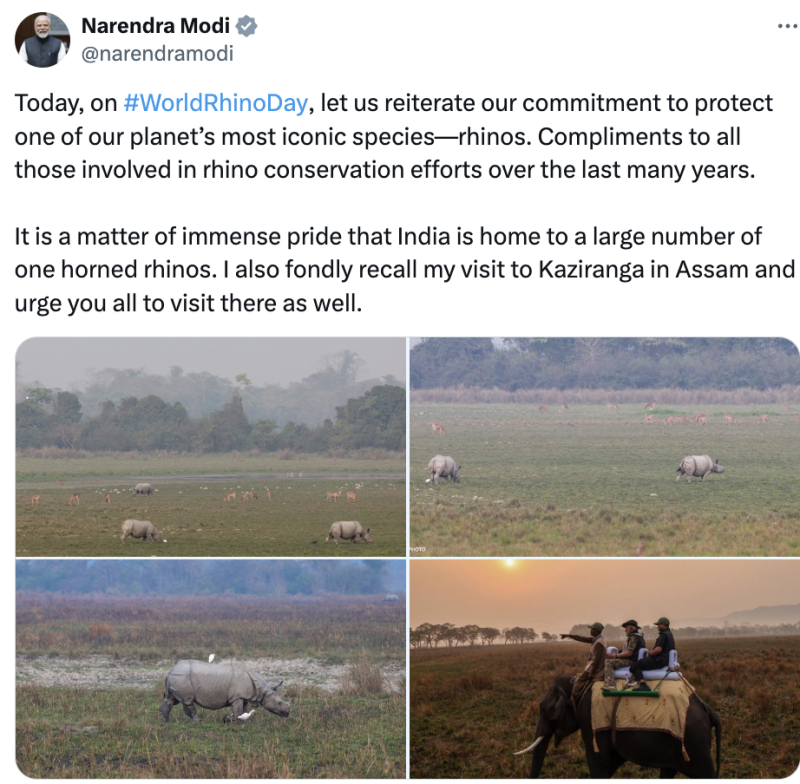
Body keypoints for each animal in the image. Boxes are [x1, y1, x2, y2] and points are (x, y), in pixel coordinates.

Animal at [160, 660, 289, 723]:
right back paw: (198, 721)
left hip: (177, 677)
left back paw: (165, 721)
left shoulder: (243, 696)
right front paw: (227, 719)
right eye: (279, 703)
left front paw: (241, 720)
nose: (288, 712)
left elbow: (243, 711)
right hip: (182, 677)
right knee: (187, 701)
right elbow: (238, 711)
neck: (262, 690)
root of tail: (171, 670)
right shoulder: (237, 696)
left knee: (170, 699)